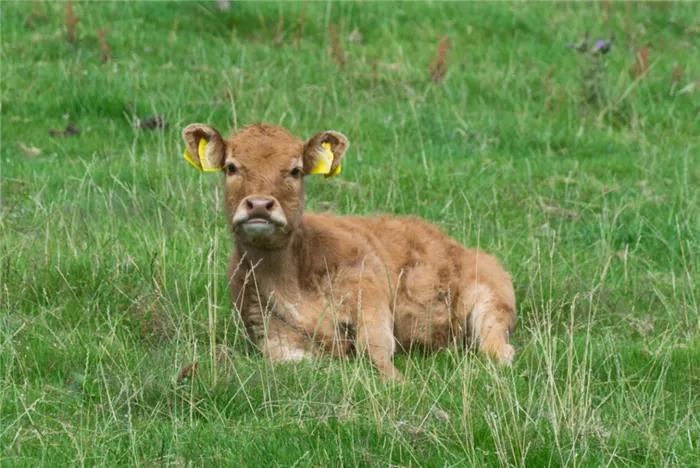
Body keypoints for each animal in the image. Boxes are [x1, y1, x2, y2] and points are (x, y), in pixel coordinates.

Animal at [183, 122, 516, 378]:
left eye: (295, 170)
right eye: (231, 167)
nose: (260, 205)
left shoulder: (368, 292)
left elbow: (377, 350)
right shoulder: (271, 336)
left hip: (491, 295)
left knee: (497, 347)